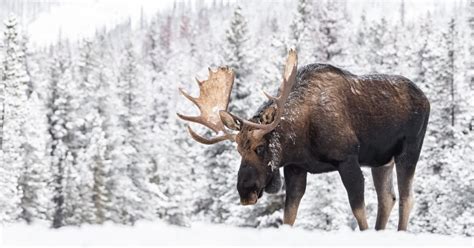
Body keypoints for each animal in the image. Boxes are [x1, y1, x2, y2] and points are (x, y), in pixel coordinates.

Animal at [177, 50, 430, 231]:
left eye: (260, 147)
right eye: (239, 150)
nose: (245, 191)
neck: (300, 139)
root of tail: (426, 99)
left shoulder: (347, 159)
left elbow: (359, 212)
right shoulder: (295, 168)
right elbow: (288, 216)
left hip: (409, 149)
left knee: (406, 198)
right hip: (381, 161)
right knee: (387, 198)